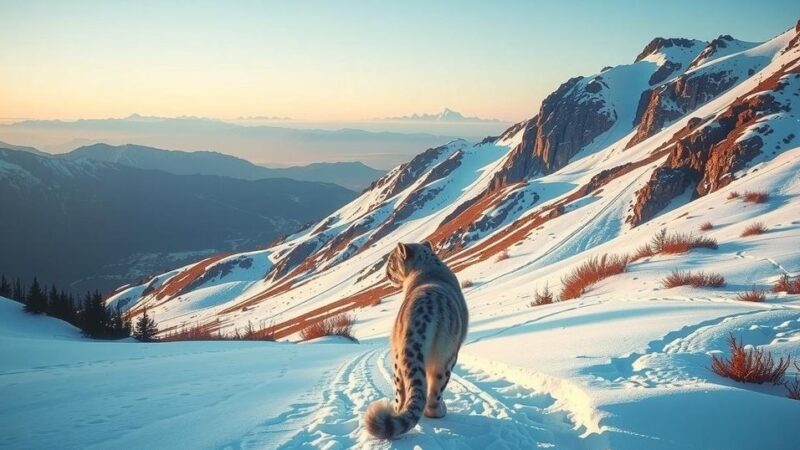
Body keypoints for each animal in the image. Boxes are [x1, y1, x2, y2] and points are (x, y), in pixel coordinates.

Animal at [364, 243, 468, 440]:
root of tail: (422, 315)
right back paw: (439, 410)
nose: (386, 273)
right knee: (432, 392)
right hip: (446, 358)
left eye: (390, 261)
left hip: (405, 359)